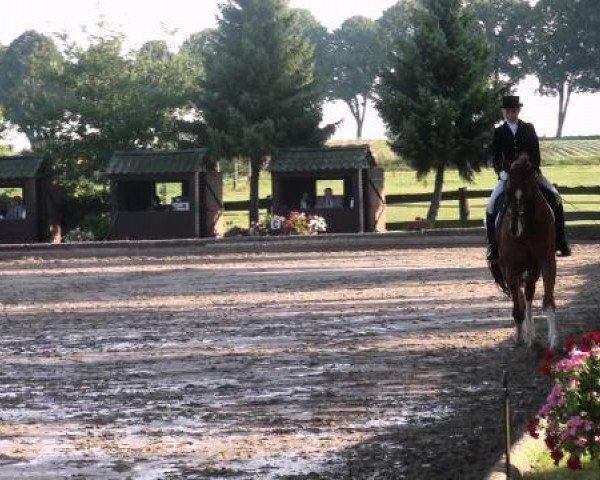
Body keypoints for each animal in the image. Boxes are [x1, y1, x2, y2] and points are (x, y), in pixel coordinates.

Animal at [488, 154, 556, 348]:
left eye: (531, 191)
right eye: (508, 192)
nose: (515, 230)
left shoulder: (546, 261)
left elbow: (547, 300)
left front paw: (552, 340)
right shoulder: (510, 267)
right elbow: (518, 307)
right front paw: (518, 337)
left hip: (532, 269)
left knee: (527, 295)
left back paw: (531, 335)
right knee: (518, 296)